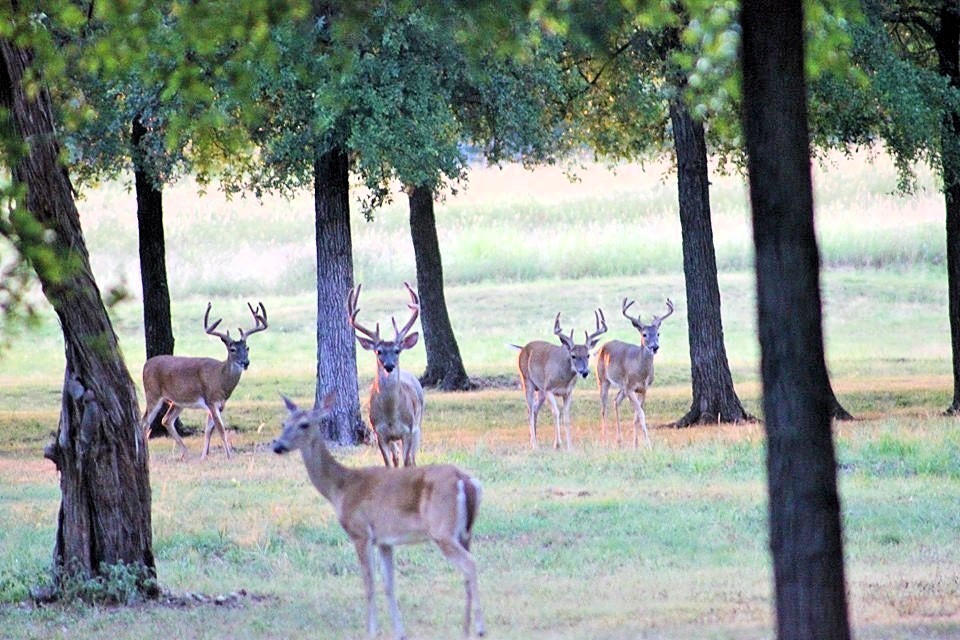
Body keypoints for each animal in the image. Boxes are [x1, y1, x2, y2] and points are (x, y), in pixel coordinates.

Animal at [140, 301, 268, 460]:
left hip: (178, 401)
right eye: (232, 349)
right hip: (152, 393)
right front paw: (229, 456)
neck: (220, 378)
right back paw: (147, 455)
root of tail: (146, 365)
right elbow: (221, 429)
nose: (246, 362)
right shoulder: (211, 400)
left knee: (166, 420)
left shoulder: (219, 405)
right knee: (145, 422)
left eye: (247, 348)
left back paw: (185, 452)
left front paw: (204, 456)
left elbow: (208, 431)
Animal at [272, 392, 485, 640]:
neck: (340, 488)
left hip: (442, 529)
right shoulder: (385, 540)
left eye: (304, 424)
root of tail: (467, 481)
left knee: (470, 564)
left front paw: (371, 630)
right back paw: (465, 628)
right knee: (467, 570)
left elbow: (369, 583)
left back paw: (479, 628)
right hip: (465, 532)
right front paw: (399, 632)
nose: (278, 445)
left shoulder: (360, 533)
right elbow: (389, 584)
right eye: (283, 423)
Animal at [347, 282, 425, 467]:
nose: (389, 366)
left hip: (418, 426)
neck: (391, 416)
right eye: (379, 351)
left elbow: (407, 463)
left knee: (412, 458)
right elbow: (389, 464)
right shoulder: (379, 433)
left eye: (397, 350)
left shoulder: (408, 430)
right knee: (396, 457)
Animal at [513, 309, 607, 450]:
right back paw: (535, 445)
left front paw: (570, 446)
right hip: (527, 381)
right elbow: (556, 412)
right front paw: (557, 444)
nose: (584, 372)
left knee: (534, 409)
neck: (564, 379)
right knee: (529, 411)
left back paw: (532, 441)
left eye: (588, 355)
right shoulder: (548, 389)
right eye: (573, 356)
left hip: (540, 390)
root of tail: (522, 348)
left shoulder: (567, 393)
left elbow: (566, 416)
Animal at [596, 297, 674, 448]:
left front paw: (636, 444)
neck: (640, 372)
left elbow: (637, 416)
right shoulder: (630, 388)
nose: (655, 346)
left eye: (658, 333)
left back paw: (619, 440)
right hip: (602, 379)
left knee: (616, 401)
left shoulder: (643, 389)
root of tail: (602, 346)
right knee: (603, 408)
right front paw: (648, 445)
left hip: (622, 386)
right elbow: (641, 414)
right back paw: (604, 439)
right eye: (644, 334)